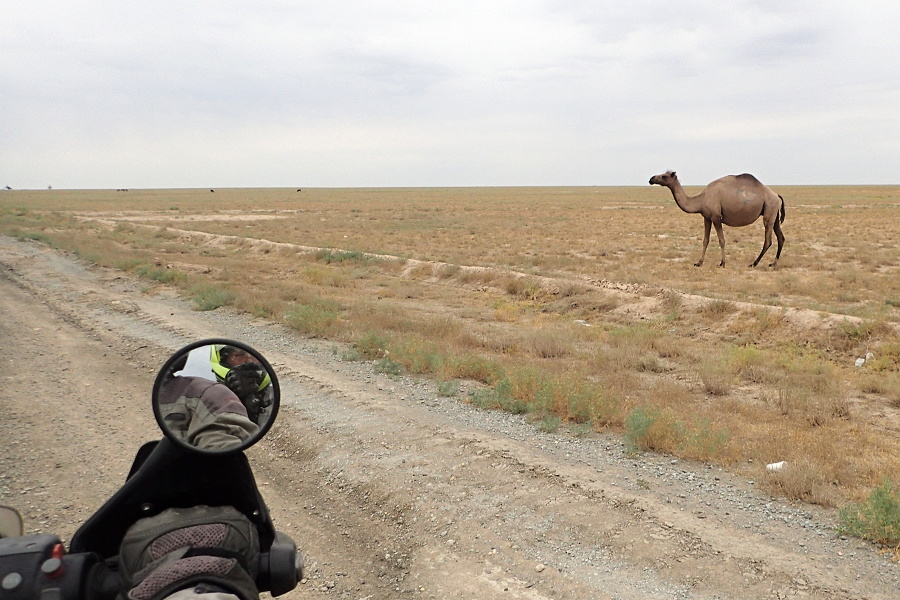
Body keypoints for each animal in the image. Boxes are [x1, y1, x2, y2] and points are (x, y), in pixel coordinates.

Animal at [652, 172, 784, 268]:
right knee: (781, 237)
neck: (701, 200)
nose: (651, 179)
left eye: (664, 176)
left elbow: (722, 241)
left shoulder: (716, 217)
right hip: (774, 213)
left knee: (768, 241)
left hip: (769, 211)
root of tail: (776, 195)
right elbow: (705, 240)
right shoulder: (707, 217)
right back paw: (773, 263)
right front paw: (698, 263)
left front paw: (722, 263)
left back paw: (754, 263)